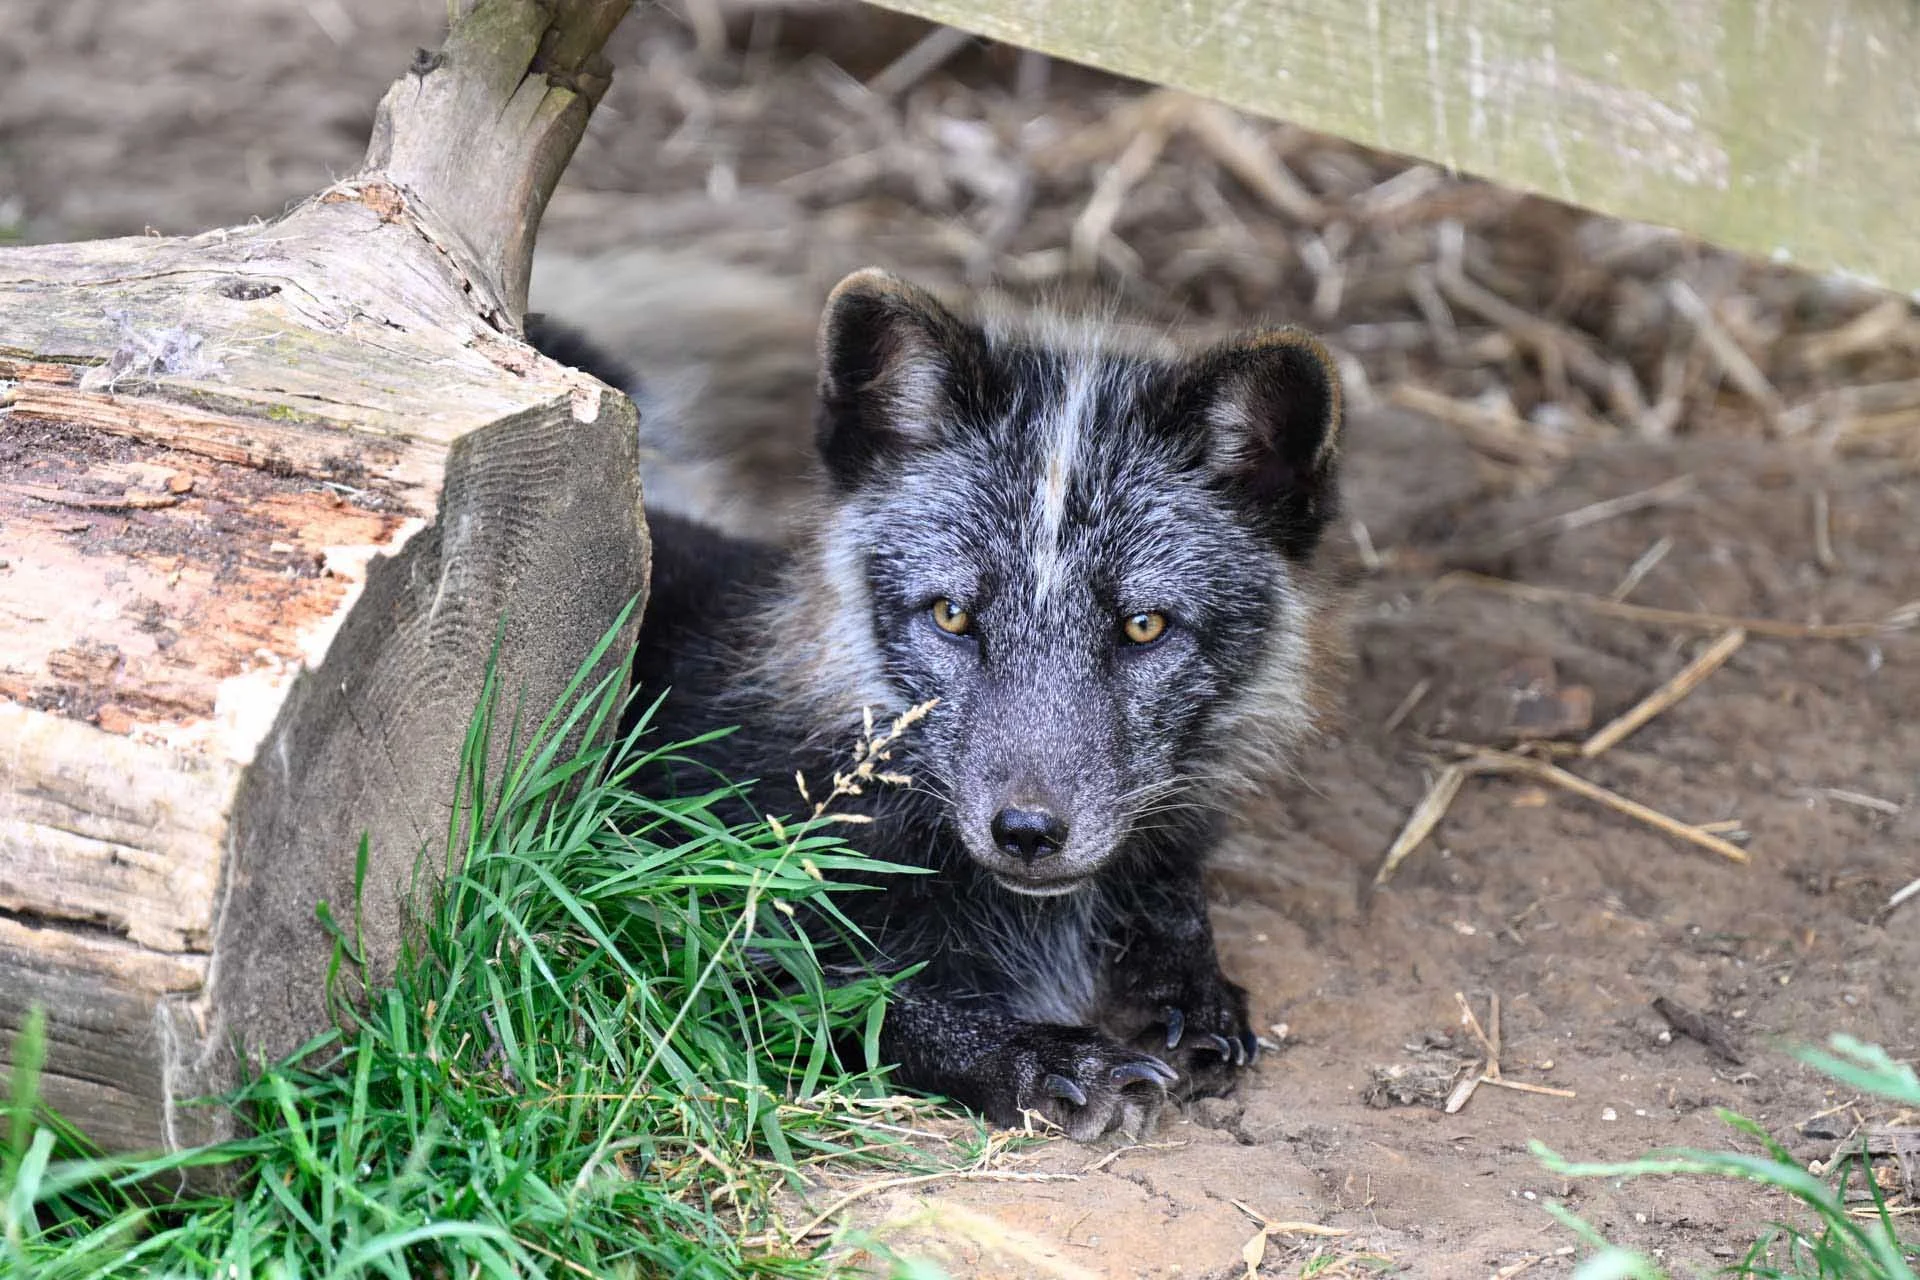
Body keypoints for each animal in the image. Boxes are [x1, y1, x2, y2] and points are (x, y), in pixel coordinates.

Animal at [526, 257, 1344, 1139]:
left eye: (1144, 625)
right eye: (953, 615)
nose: (1027, 833)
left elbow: (1181, 907)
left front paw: (1192, 990)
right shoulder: (681, 925)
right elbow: (872, 1003)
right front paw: (1042, 1059)